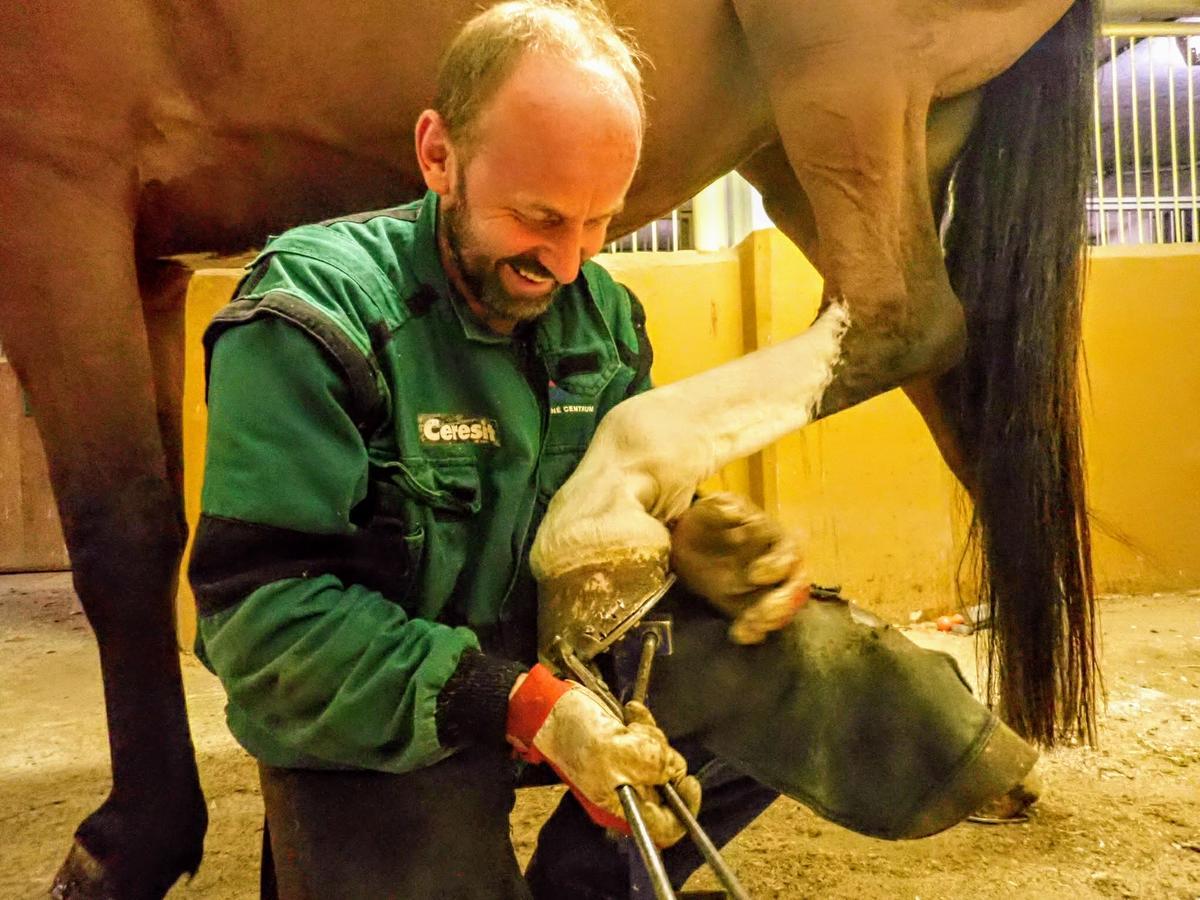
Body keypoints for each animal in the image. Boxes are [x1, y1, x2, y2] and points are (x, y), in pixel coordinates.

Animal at [0, 3, 1099, 897]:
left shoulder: (56, 187)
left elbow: (121, 538)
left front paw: (126, 844)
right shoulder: (144, 262)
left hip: (844, 75)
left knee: (906, 319)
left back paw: (595, 522)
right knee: (966, 402)